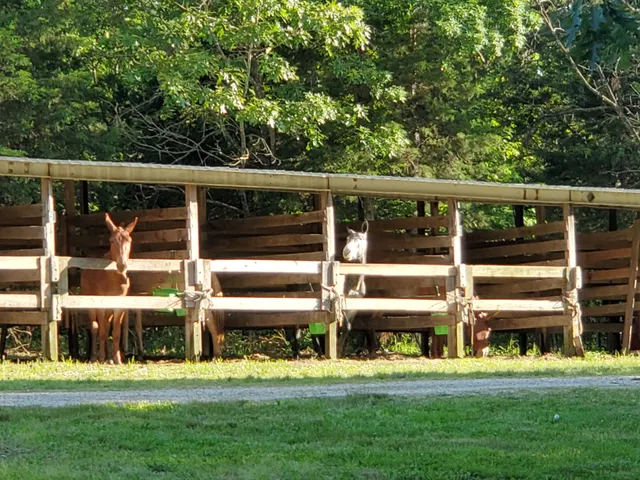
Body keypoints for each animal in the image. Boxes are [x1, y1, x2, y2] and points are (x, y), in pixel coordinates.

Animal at [80, 213, 138, 364]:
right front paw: (101, 357)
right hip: (90, 304)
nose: (122, 265)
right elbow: (101, 331)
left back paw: (109, 356)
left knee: (106, 326)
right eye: (112, 241)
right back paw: (95, 356)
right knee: (95, 327)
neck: (113, 280)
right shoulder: (101, 305)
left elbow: (115, 332)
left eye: (129, 241)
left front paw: (116, 358)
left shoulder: (118, 305)